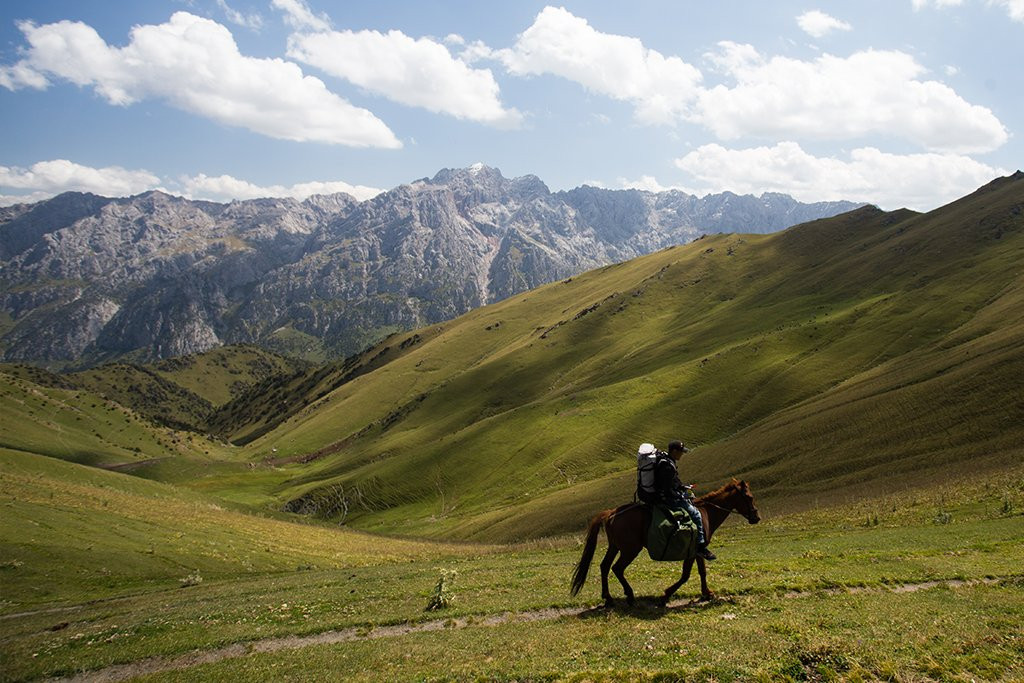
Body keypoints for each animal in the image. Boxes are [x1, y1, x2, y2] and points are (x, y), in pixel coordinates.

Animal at [569, 479, 761, 606]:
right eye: (749, 497)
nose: (756, 518)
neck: (706, 513)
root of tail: (611, 513)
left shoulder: (699, 550)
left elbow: (702, 572)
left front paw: (707, 593)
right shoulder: (692, 551)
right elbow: (685, 575)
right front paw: (666, 594)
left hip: (615, 547)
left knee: (604, 566)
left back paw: (608, 597)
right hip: (630, 549)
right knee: (617, 568)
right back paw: (629, 595)